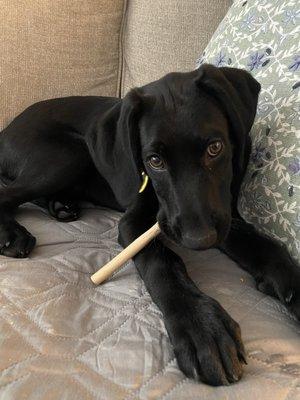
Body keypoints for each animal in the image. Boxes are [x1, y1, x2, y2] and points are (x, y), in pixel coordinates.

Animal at [0, 65, 298, 384]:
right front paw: (201, 324)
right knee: (9, 193)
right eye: (154, 161)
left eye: (215, 147)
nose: (199, 240)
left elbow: (266, 246)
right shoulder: (134, 223)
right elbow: (162, 260)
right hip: (69, 153)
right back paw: (13, 233)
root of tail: (7, 129)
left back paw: (61, 205)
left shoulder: (226, 216)